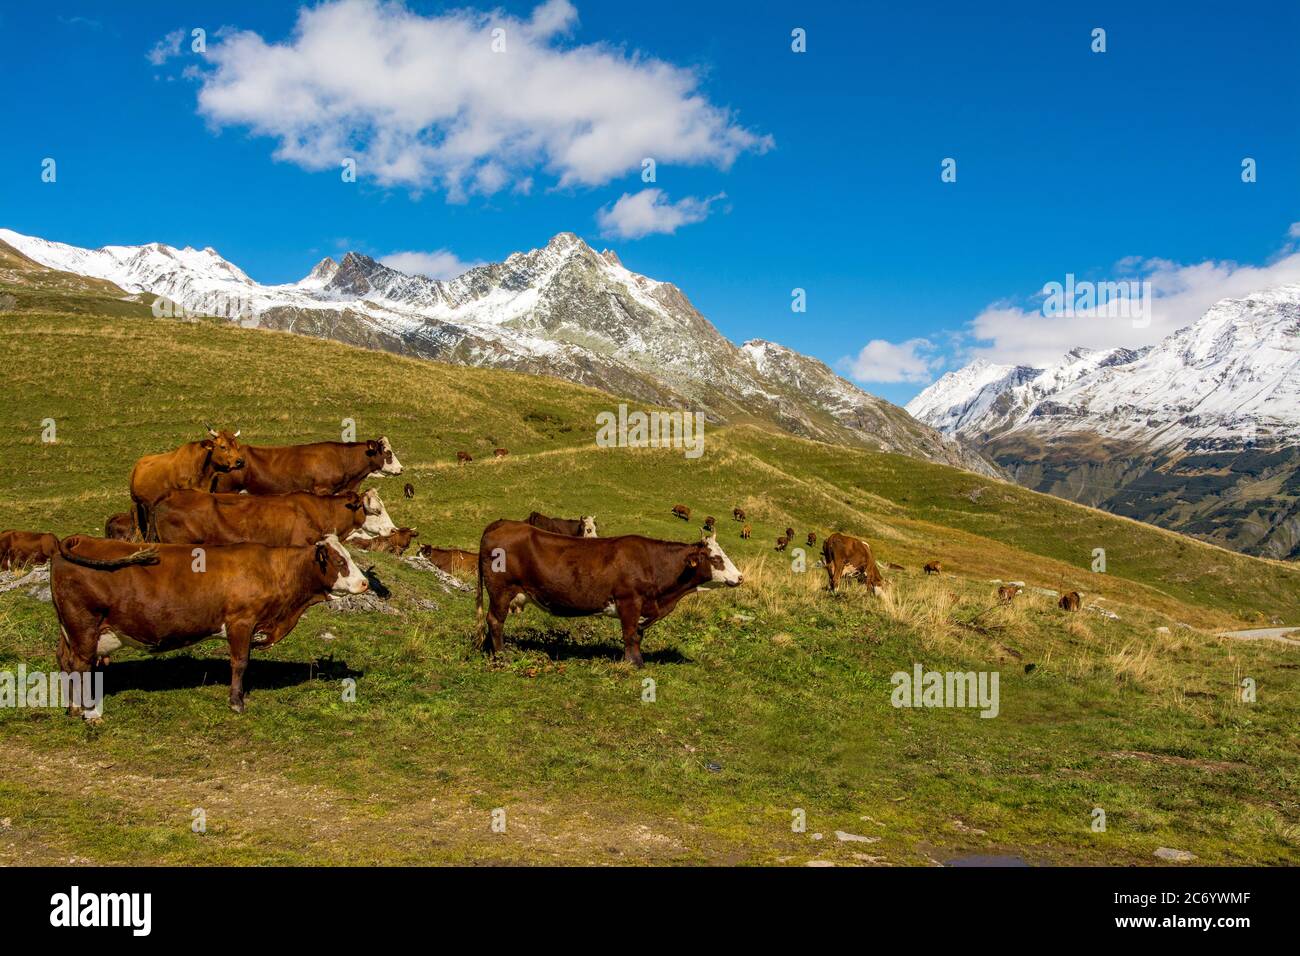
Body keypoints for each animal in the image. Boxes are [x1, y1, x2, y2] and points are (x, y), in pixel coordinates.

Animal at [50, 535, 366, 712]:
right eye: (340, 561)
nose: (364, 583)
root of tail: (79, 539)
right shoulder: (241, 621)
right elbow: (239, 663)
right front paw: (236, 702)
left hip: (71, 630)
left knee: (65, 660)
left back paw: (72, 706)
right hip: (84, 626)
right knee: (80, 665)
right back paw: (86, 710)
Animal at [478, 522, 743, 665]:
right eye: (716, 558)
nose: (740, 577)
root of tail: (502, 523)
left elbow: (637, 634)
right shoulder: (629, 601)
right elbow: (630, 635)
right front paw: (635, 664)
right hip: (501, 590)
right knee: (495, 620)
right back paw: (501, 655)